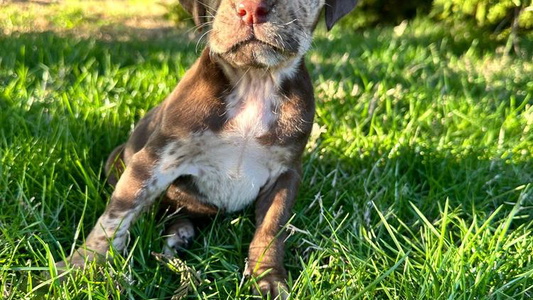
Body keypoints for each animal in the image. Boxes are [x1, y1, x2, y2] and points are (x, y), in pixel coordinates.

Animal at [58, 0, 356, 296]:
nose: (251, 7)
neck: (255, 81)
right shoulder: (155, 161)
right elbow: (117, 214)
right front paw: (82, 265)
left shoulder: (285, 173)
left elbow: (270, 231)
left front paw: (268, 280)